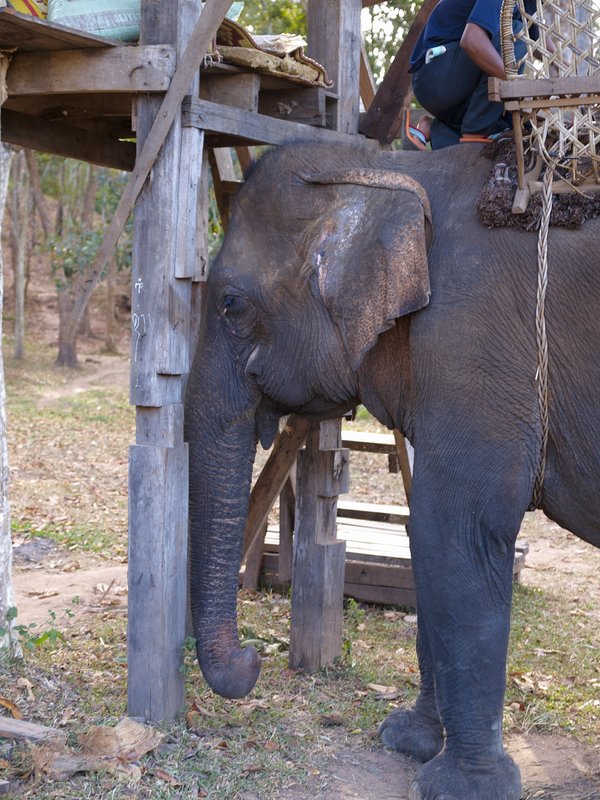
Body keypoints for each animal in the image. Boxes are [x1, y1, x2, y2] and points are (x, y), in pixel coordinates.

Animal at [184, 140, 600, 800]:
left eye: (231, 305)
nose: (254, 659)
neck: (389, 168)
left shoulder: (472, 344)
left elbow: (454, 537)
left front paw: (461, 787)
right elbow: (426, 544)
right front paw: (406, 741)